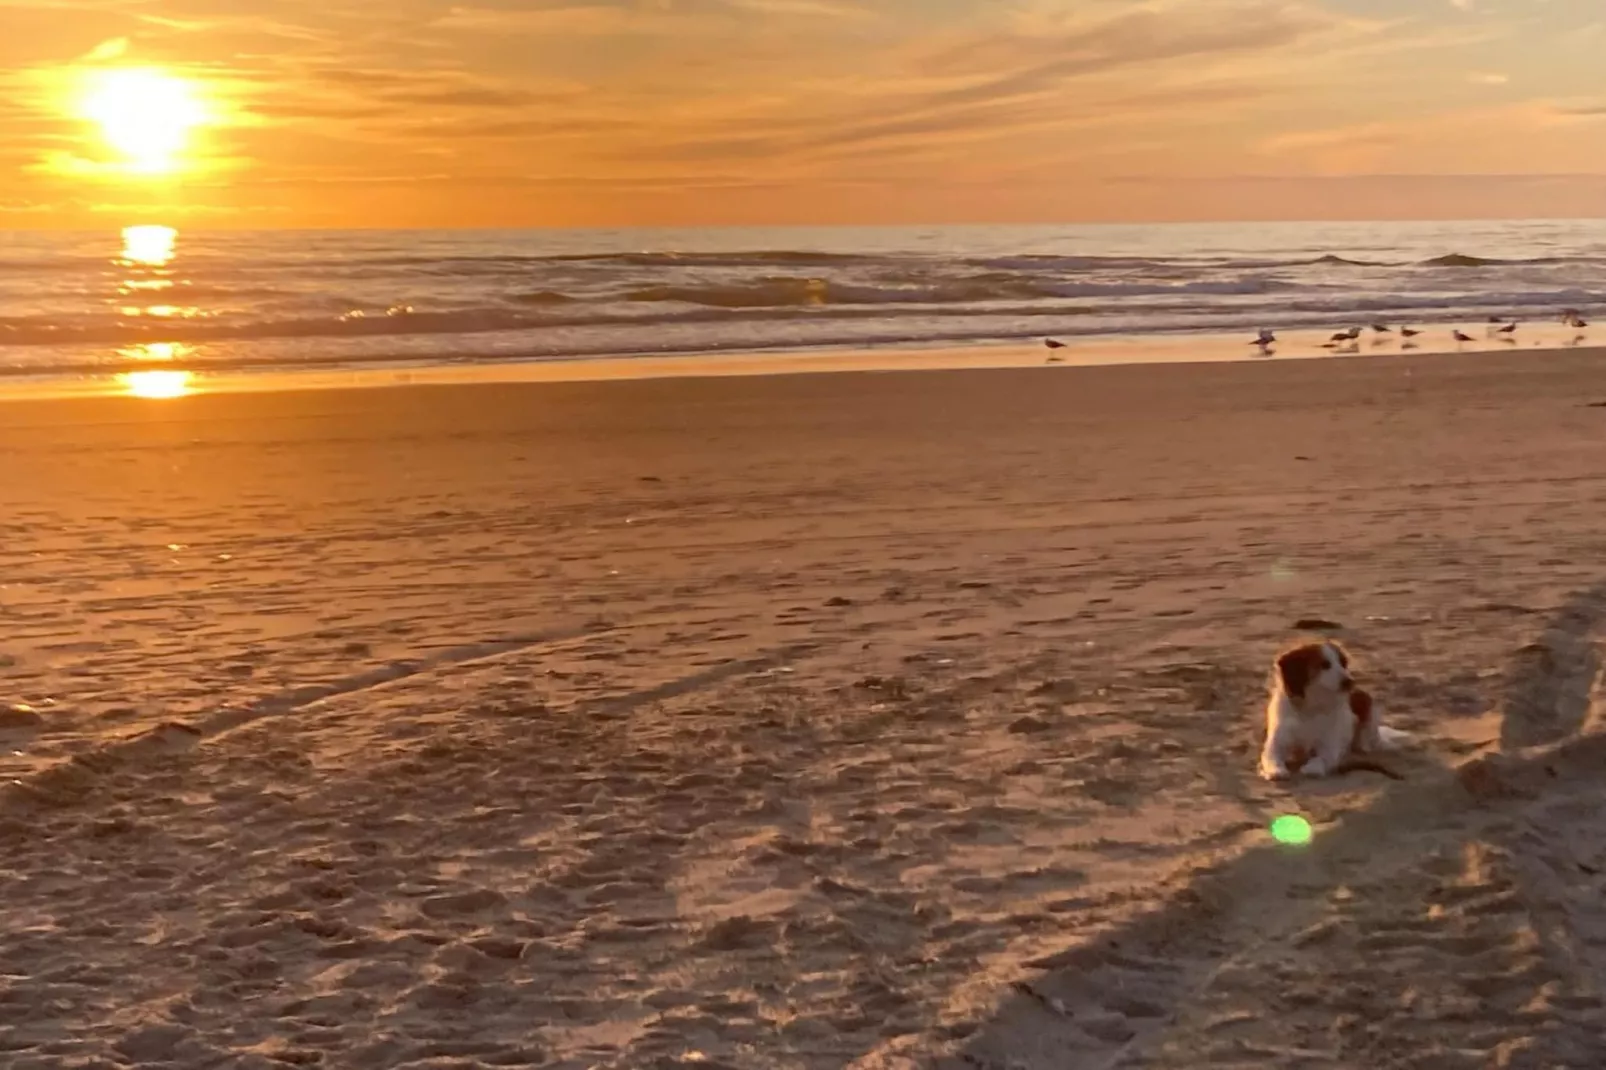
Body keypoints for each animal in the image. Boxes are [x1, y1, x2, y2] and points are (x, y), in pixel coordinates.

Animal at [1252, 636, 1406, 780]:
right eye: (1324, 665)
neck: (1311, 709)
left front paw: (1311, 768)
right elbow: (1272, 759)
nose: (1350, 682)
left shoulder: (1329, 748)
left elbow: (1320, 760)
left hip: (1368, 708)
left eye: (1343, 663)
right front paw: (1276, 771)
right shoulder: (1275, 745)